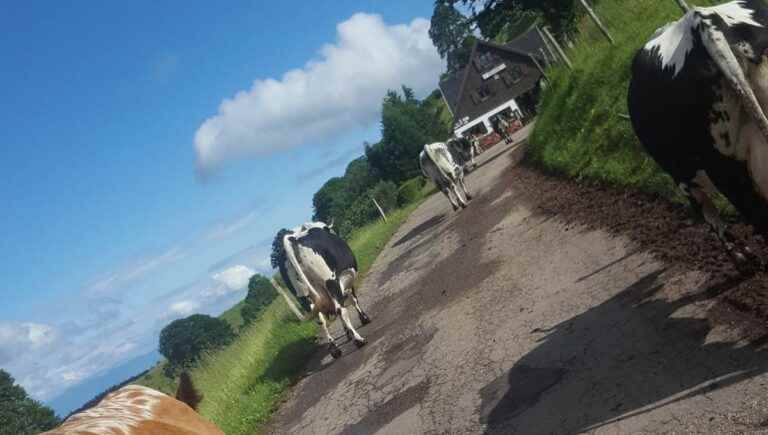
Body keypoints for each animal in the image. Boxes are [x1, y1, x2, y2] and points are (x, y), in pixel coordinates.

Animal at [278, 223, 370, 360]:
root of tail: (293, 238)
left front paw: (347, 333)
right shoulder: (346, 284)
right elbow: (354, 300)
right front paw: (364, 319)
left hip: (303, 296)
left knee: (321, 321)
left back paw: (334, 349)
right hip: (331, 282)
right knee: (341, 310)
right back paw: (359, 340)